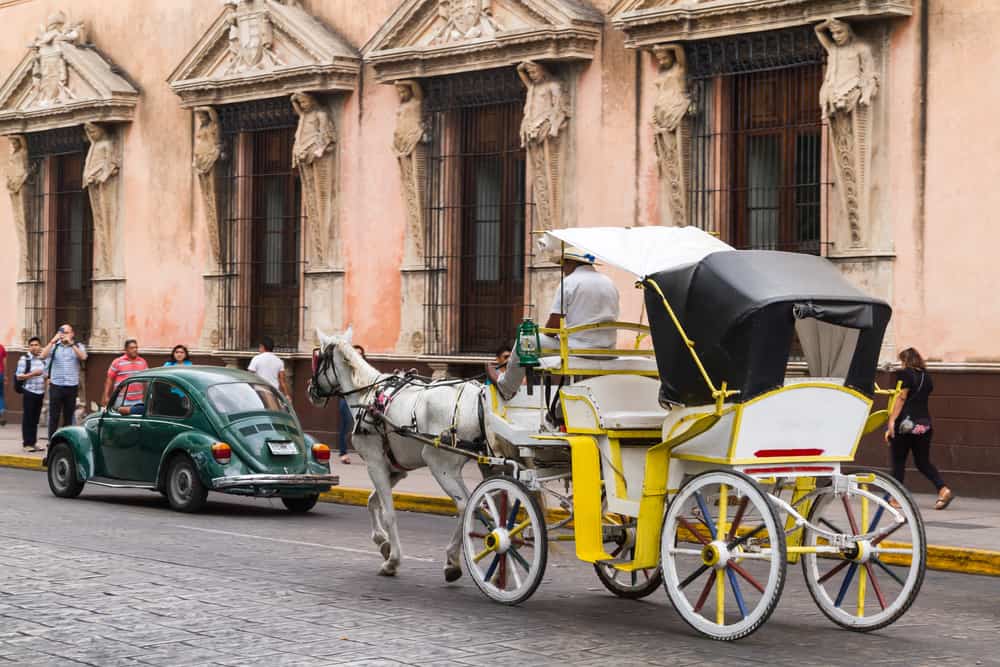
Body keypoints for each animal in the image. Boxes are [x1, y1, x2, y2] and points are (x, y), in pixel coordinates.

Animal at [310, 328, 486, 580]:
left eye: (318, 359)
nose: (311, 391)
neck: (367, 397)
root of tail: (477, 393)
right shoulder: (395, 469)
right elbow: (372, 502)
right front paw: (382, 543)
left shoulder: (374, 463)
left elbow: (389, 513)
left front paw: (392, 560)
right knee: (479, 504)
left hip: (440, 464)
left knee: (466, 506)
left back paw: (453, 559)